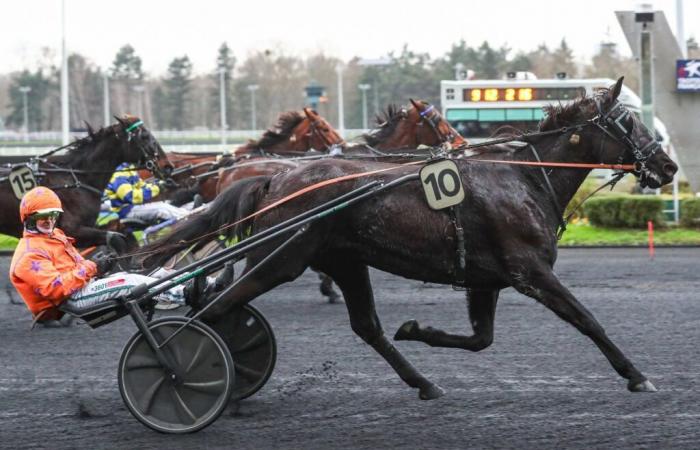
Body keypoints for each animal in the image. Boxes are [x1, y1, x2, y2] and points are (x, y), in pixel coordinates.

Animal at [144, 78, 680, 400]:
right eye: (629, 122)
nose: (669, 166)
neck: (526, 179)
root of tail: (276, 178)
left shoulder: (485, 279)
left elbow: (480, 339)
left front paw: (416, 329)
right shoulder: (530, 270)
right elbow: (587, 319)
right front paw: (636, 375)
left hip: (343, 260)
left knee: (365, 327)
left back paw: (423, 383)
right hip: (282, 258)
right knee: (212, 308)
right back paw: (181, 372)